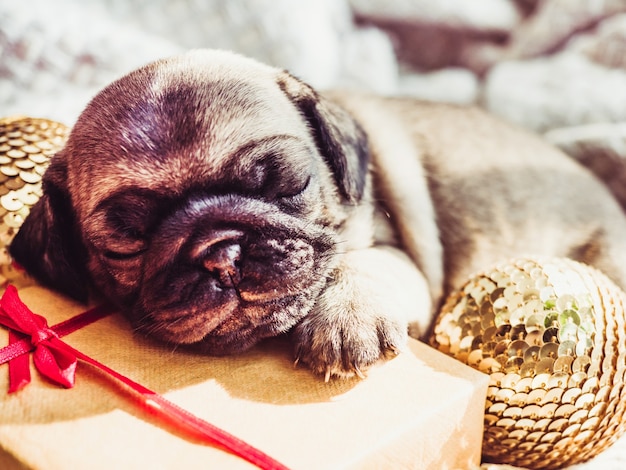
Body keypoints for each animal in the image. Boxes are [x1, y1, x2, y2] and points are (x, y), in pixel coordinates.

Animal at [9, 48, 626, 382]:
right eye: (126, 243)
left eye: (290, 183)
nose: (222, 252)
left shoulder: (404, 262)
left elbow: (362, 263)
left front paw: (345, 315)